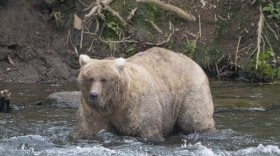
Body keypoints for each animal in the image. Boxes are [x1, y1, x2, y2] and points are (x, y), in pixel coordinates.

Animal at [73, 47, 215, 141]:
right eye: (90, 78)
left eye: (104, 79)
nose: (94, 95)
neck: (116, 103)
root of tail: (193, 61)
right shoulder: (95, 112)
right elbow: (88, 128)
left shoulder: (138, 106)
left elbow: (149, 128)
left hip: (190, 91)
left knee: (195, 119)